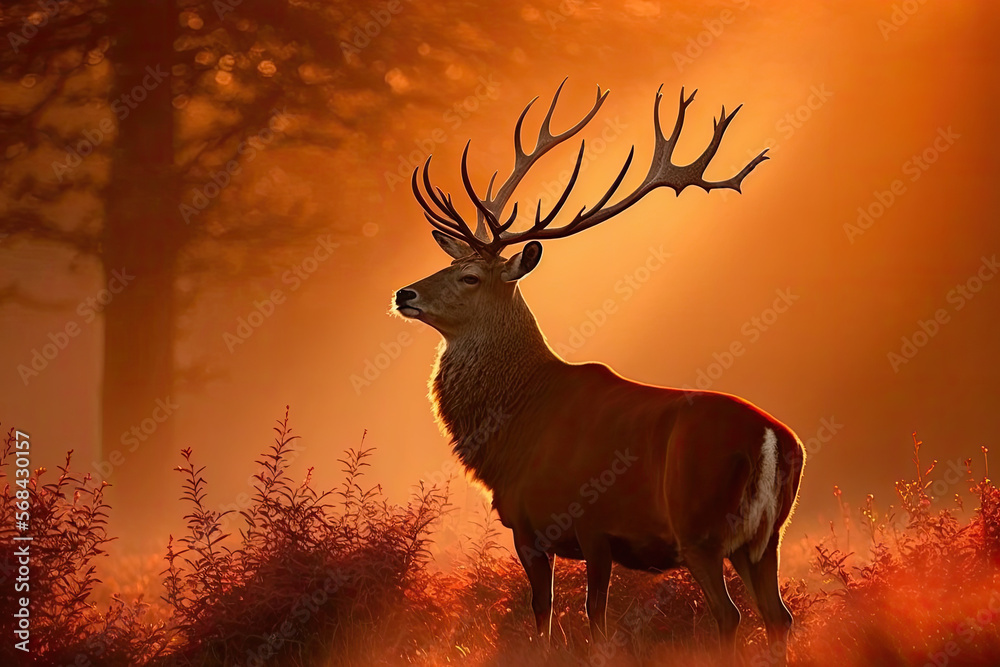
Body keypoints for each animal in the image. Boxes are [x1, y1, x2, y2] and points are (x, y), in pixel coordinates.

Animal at [392, 80, 805, 663]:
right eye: (449, 264)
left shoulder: (569, 523)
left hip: (699, 526)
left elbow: (565, 620)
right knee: (779, 616)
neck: (514, 429)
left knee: (729, 616)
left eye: (470, 276)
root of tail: (773, 439)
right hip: (766, 537)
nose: (404, 294)